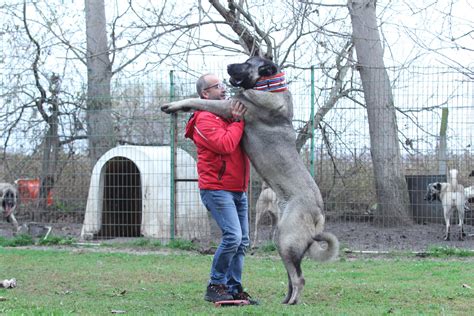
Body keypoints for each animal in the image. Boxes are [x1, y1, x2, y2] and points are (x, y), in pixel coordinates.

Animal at [161, 56, 338, 304]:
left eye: (246, 64)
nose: (228, 67)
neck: (269, 85)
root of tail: (319, 212)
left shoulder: (229, 107)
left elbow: (199, 101)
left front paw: (174, 104)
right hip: (281, 239)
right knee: (292, 275)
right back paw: (285, 300)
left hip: (286, 238)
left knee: (299, 278)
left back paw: (292, 303)